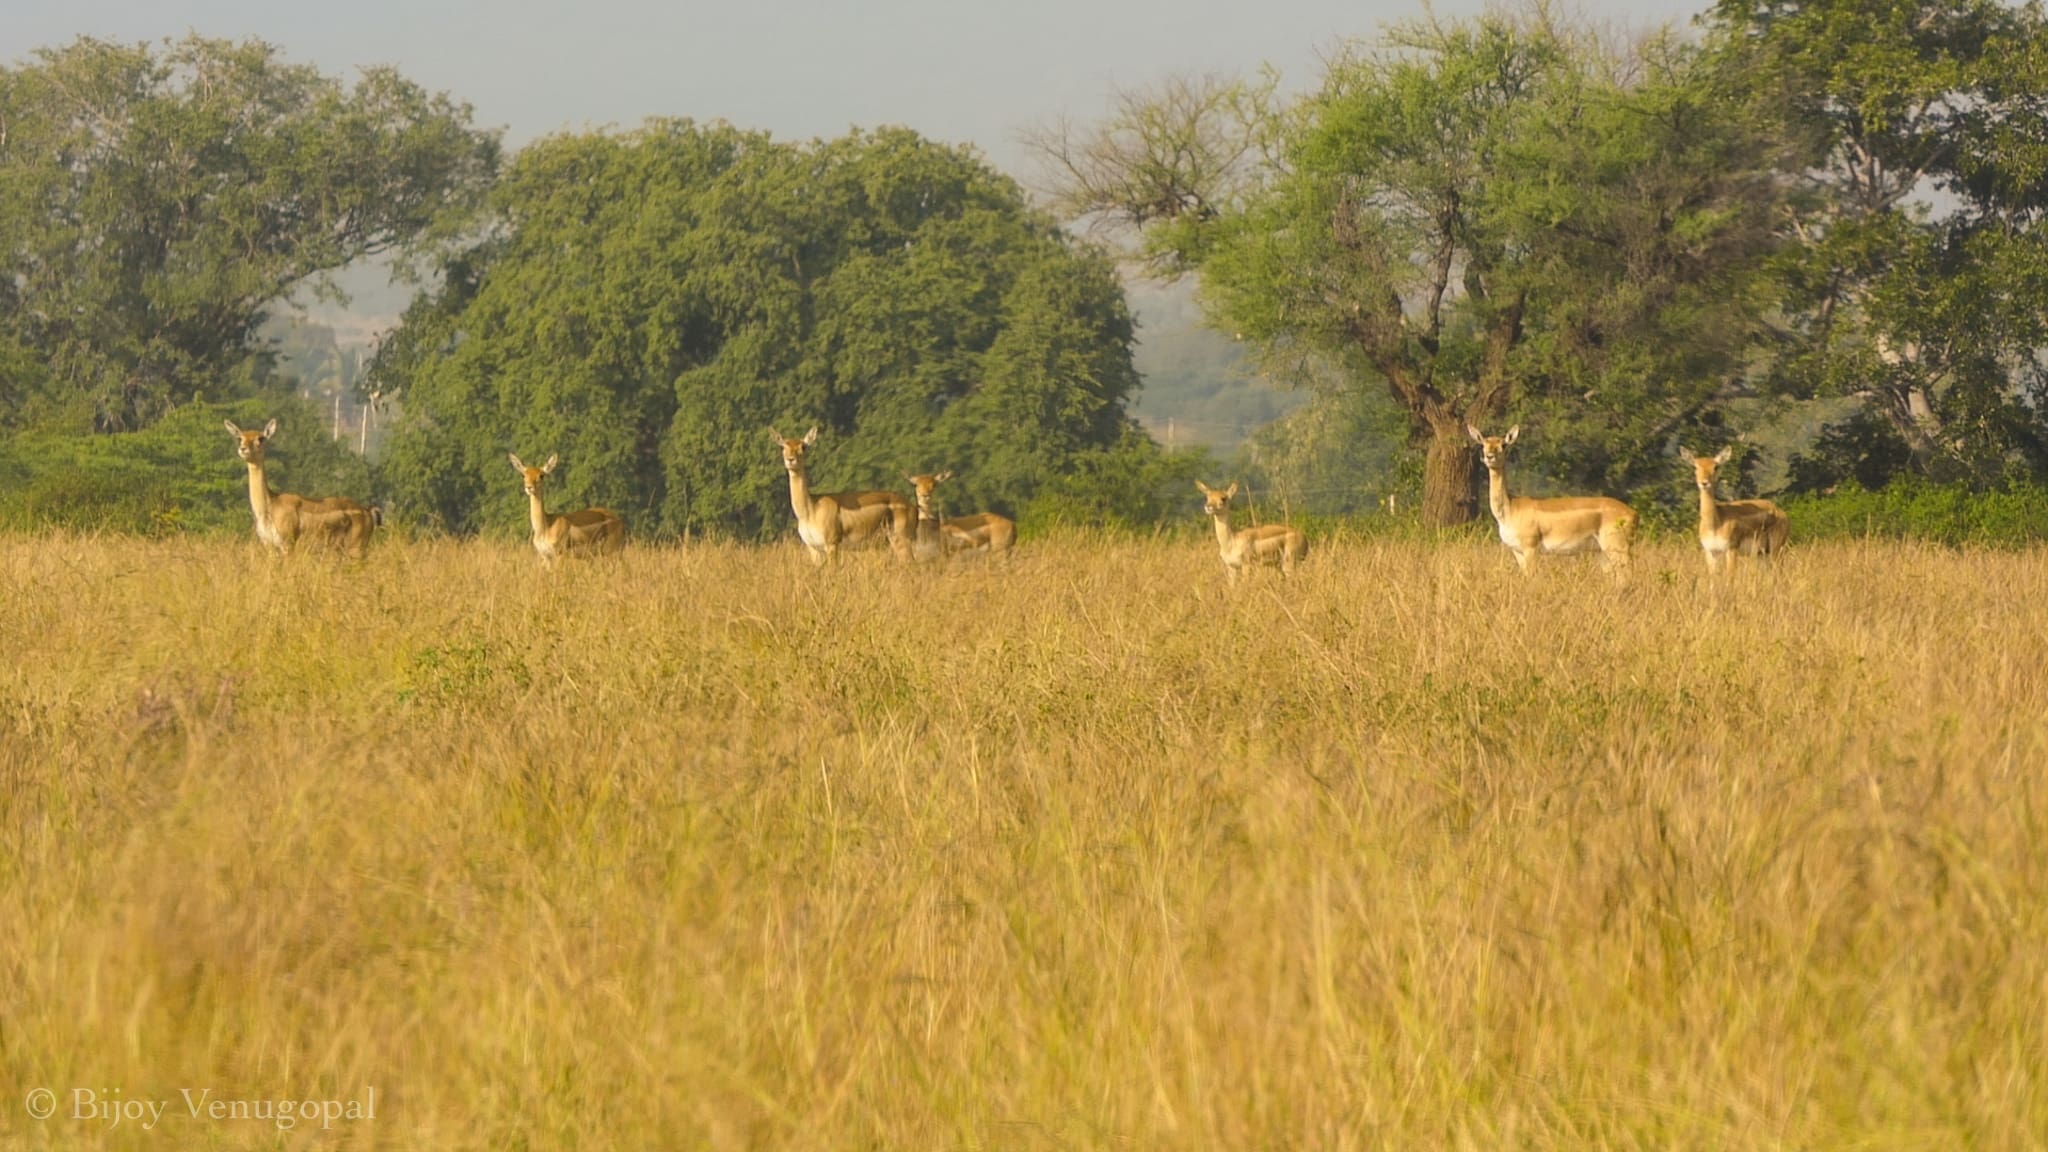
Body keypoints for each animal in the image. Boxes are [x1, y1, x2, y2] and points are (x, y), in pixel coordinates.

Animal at [223, 416, 380, 557]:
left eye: (261, 438)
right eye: (240, 438)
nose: (243, 449)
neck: (269, 505)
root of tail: (368, 511)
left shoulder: (288, 544)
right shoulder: (270, 546)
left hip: (356, 548)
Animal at [770, 424, 917, 561]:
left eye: (803, 446)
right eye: (783, 446)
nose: (790, 459)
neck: (811, 510)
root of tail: (912, 506)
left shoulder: (832, 544)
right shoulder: (813, 548)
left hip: (901, 540)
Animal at [1466, 424, 1638, 578]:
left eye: (1503, 444)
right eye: (1483, 443)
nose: (1489, 456)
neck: (1510, 509)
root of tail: (1634, 513)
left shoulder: (1531, 548)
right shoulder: (1517, 551)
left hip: (1617, 548)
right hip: (1604, 553)